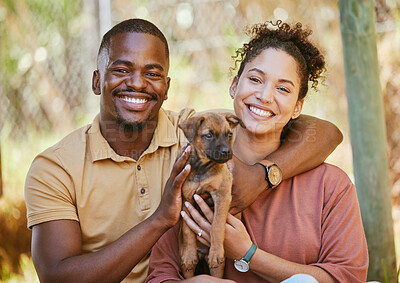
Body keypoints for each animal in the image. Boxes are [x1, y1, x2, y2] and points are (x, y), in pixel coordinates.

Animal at [179, 112, 244, 278]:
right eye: (208, 135)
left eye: (229, 134)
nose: (226, 152)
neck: (202, 167)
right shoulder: (186, 199)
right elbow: (187, 229)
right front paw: (188, 254)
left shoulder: (221, 196)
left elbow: (216, 225)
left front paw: (215, 252)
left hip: (217, 269)